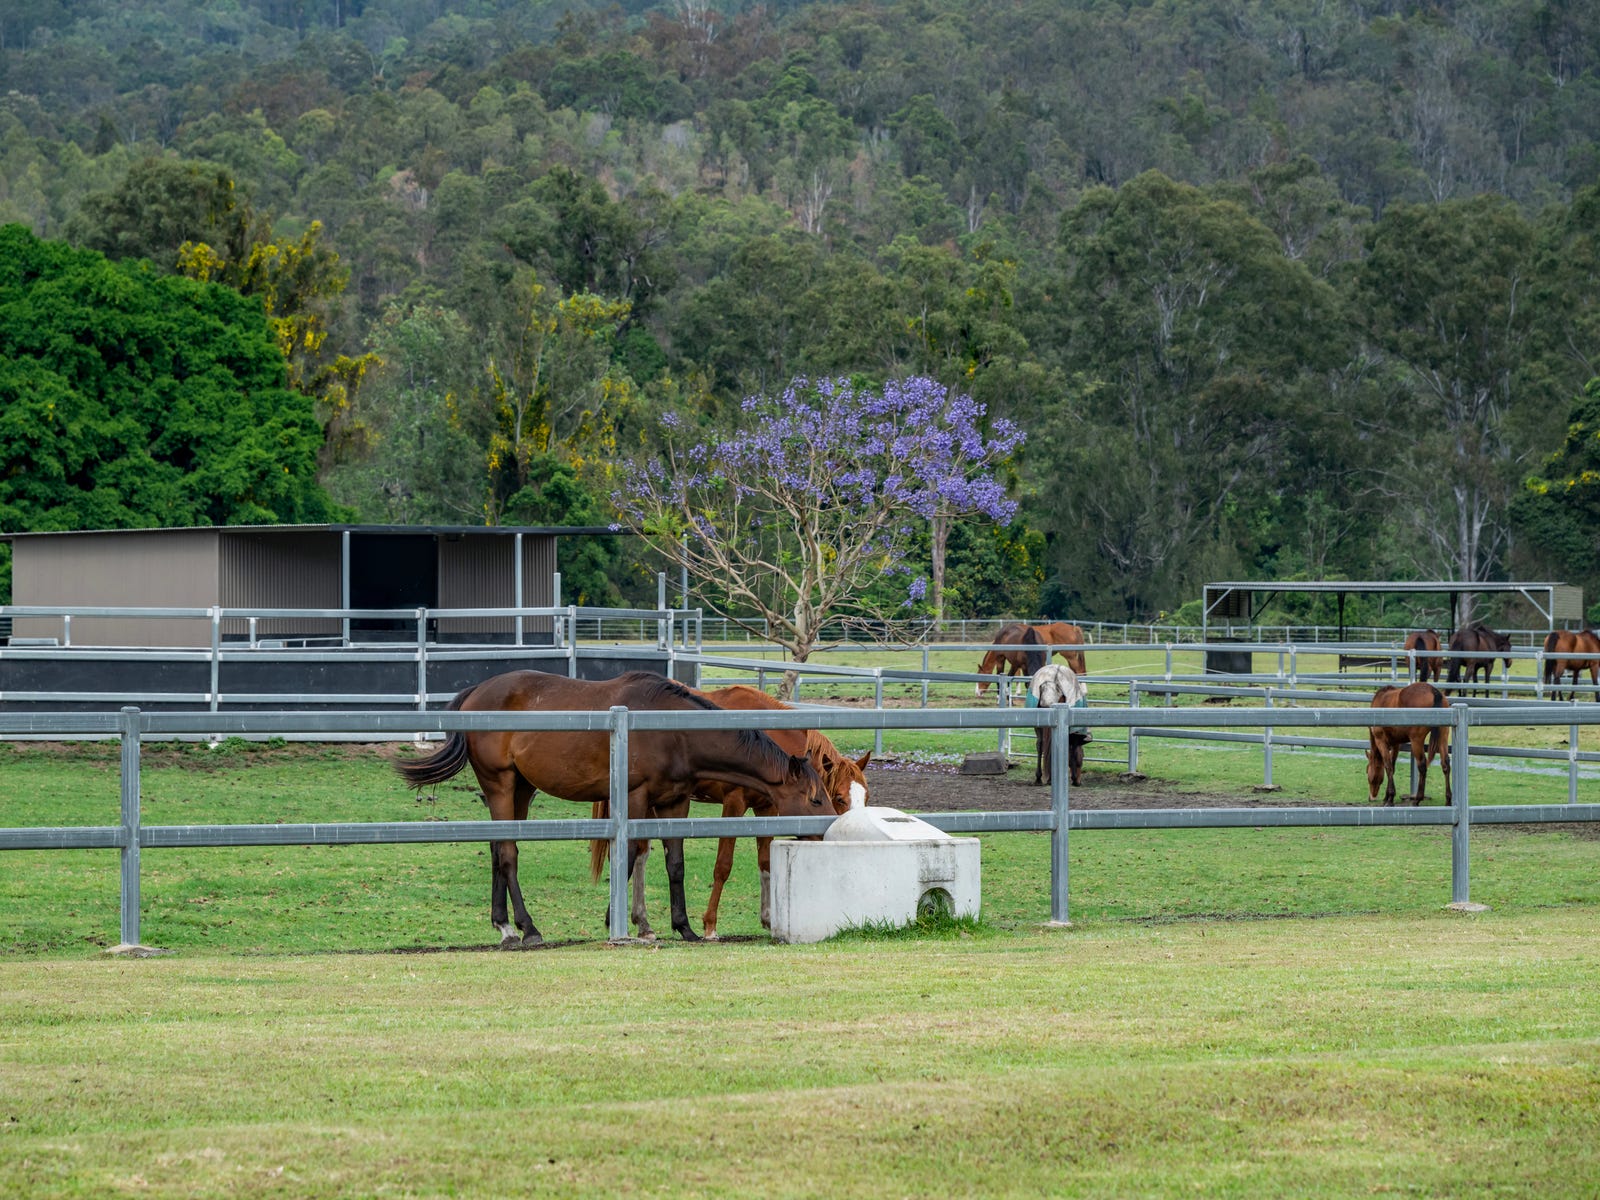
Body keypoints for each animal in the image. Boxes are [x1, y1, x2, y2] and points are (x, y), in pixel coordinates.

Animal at [393, 670, 831, 947]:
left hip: (521, 789)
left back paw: (504, 925)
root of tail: (476, 692)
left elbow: (675, 861)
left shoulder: (674, 801)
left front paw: (684, 927)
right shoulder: (636, 797)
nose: (828, 830)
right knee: (508, 853)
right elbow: (631, 853)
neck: (672, 729)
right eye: (814, 797)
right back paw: (526, 928)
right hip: (499, 785)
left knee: (497, 848)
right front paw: (620, 922)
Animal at [601, 684, 873, 940]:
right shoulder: (734, 803)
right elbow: (723, 865)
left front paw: (768, 918)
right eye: (838, 797)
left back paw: (642, 923)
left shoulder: (767, 808)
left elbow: (765, 862)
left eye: (866, 796)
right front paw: (710, 925)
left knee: (640, 855)